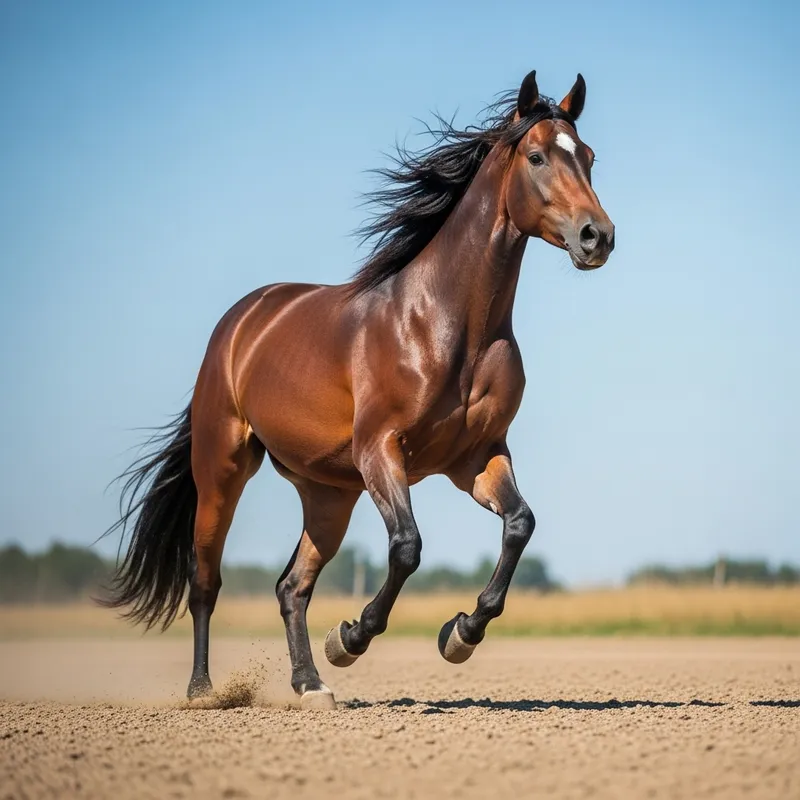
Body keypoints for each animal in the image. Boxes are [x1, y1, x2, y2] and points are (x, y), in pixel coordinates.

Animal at [101, 69, 614, 709]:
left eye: (589, 157)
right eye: (538, 156)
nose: (597, 237)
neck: (446, 325)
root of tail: (242, 321)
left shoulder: (477, 457)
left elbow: (520, 525)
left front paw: (459, 634)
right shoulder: (381, 450)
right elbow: (407, 547)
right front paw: (351, 637)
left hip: (328, 495)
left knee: (291, 586)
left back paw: (309, 684)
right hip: (223, 466)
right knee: (205, 579)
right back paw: (204, 690)